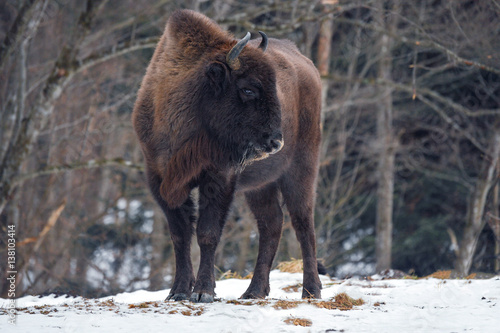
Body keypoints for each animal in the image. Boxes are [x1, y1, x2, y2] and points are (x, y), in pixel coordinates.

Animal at [131, 9, 322, 300]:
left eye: (274, 87)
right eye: (248, 89)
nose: (275, 141)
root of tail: (309, 66)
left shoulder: (219, 178)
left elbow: (207, 233)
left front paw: (203, 292)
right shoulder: (160, 179)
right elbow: (180, 235)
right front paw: (178, 291)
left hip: (301, 170)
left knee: (303, 224)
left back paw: (311, 291)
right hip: (260, 186)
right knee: (271, 224)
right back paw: (254, 291)